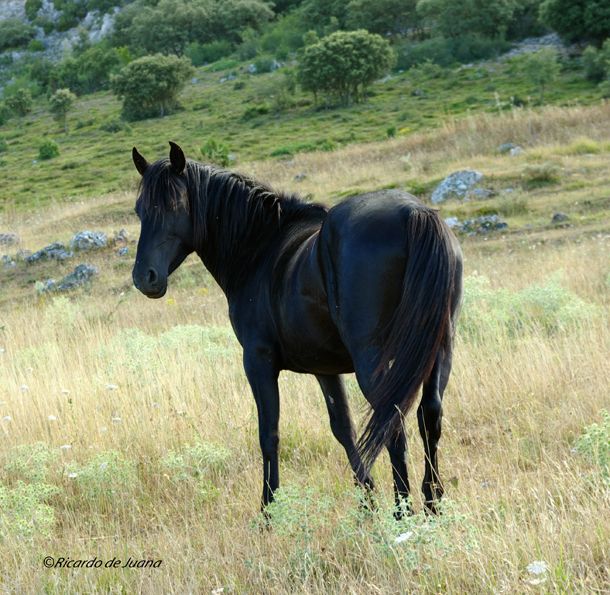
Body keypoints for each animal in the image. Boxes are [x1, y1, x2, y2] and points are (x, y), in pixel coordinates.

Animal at [129, 142, 460, 516]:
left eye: (174, 205)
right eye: (140, 210)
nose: (144, 278)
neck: (260, 249)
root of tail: (414, 213)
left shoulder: (258, 361)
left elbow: (268, 434)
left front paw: (268, 510)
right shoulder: (324, 369)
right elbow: (342, 427)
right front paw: (366, 498)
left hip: (373, 360)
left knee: (393, 422)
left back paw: (404, 511)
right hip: (438, 351)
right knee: (429, 416)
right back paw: (432, 504)